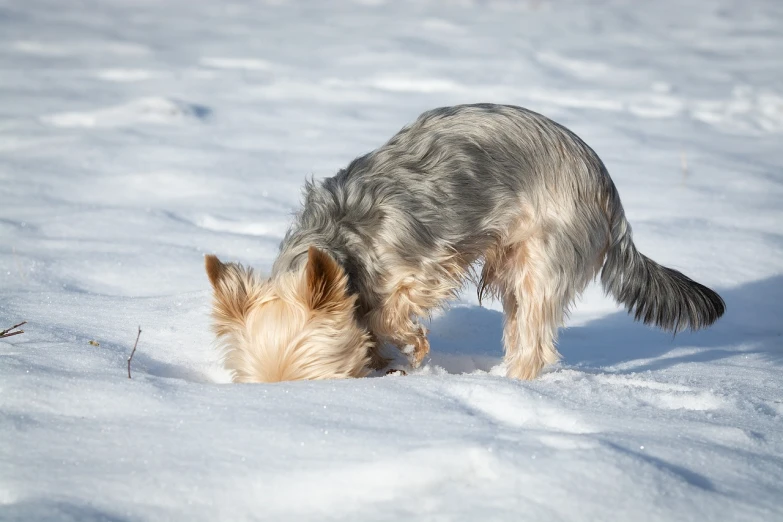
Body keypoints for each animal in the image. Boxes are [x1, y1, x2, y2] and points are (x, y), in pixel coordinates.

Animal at [205, 103, 724, 380]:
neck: (337, 244)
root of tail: (607, 186)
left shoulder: (425, 265)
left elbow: (390, 313)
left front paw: (409, 348)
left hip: (542, 255)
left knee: (533, 337)